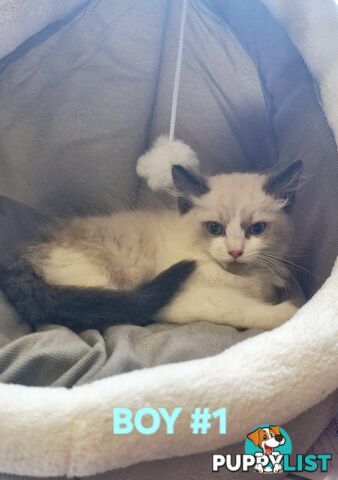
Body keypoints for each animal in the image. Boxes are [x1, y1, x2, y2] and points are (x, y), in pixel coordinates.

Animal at [0, 153, 304, 330]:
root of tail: (21, 255)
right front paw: (289, 312)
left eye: (257, 229)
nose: (235, 251)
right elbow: (241, 309)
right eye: (214, 228)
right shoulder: (193, 299)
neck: (242, 278)